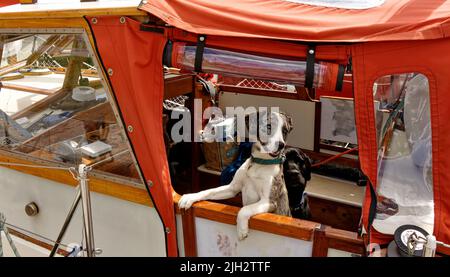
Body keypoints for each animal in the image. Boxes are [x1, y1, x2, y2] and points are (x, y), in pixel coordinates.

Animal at [180, 110, 302, 239]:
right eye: (269, 126)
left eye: (285, 131)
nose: (281, 145)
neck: (260, 163)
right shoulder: (232, 188)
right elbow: (209, 191)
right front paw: (189, 197)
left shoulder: (269, 201)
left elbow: (245, 209)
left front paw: (241, 229)